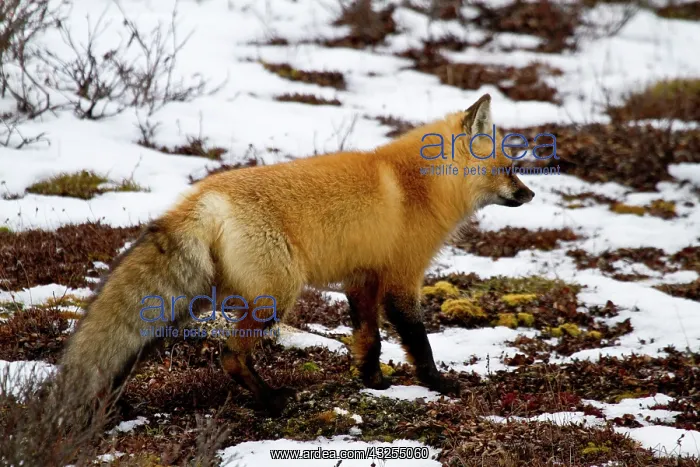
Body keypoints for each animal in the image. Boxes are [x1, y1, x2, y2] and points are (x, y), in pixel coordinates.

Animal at [57, 93, 534, 417]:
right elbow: (418, 341)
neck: (419, 186)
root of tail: (202, 196)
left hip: (196, 301)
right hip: (278, 295)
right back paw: (272, 401)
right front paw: (438, 384)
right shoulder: (402, 277)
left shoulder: (362, 278)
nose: (530, 195)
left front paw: (373, 381)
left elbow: (369, 337)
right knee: (230, 354)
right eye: (509, 168)